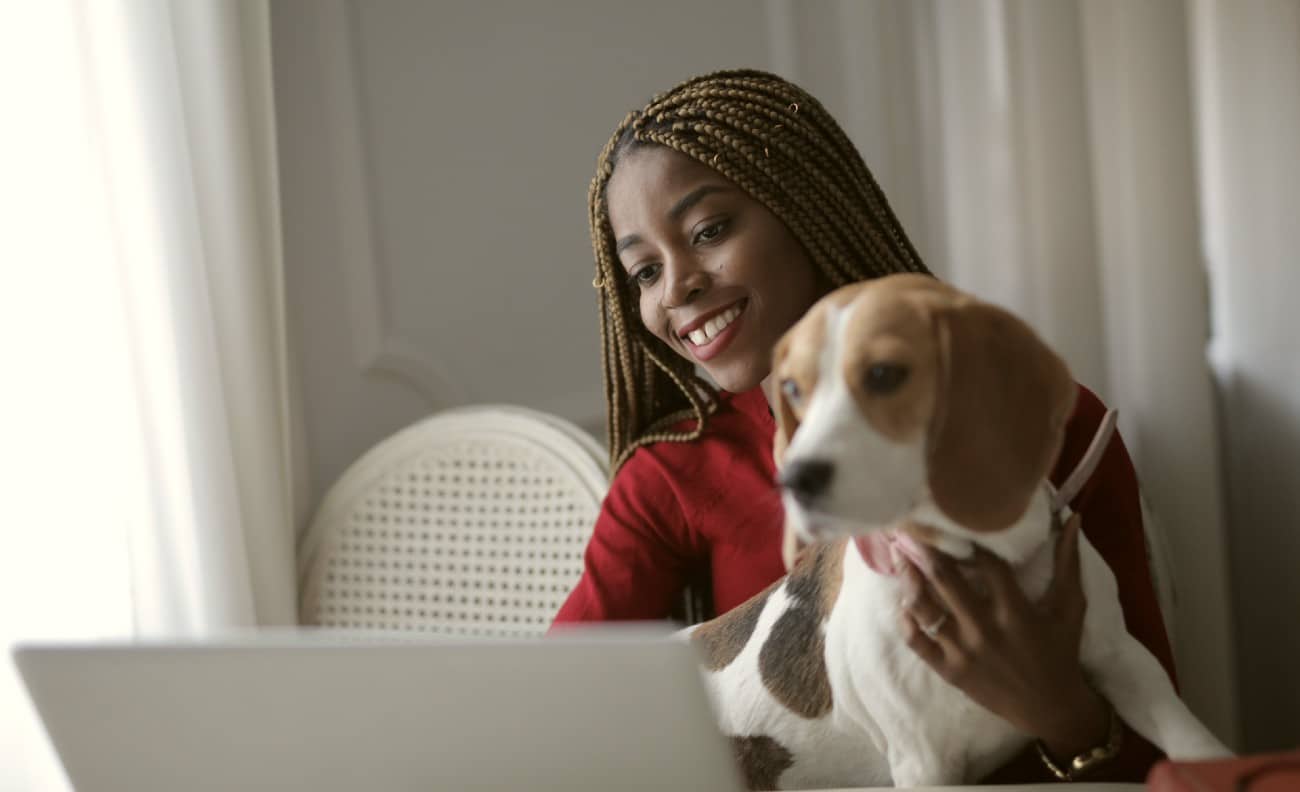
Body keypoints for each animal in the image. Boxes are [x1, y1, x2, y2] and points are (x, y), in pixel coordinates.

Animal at [686, 274, 1232, 785]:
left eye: (884, 374)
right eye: (793, 389)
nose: (793, 480)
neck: (977, 556)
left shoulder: (1125, 661)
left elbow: (1195, 743)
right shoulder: (923, 763)